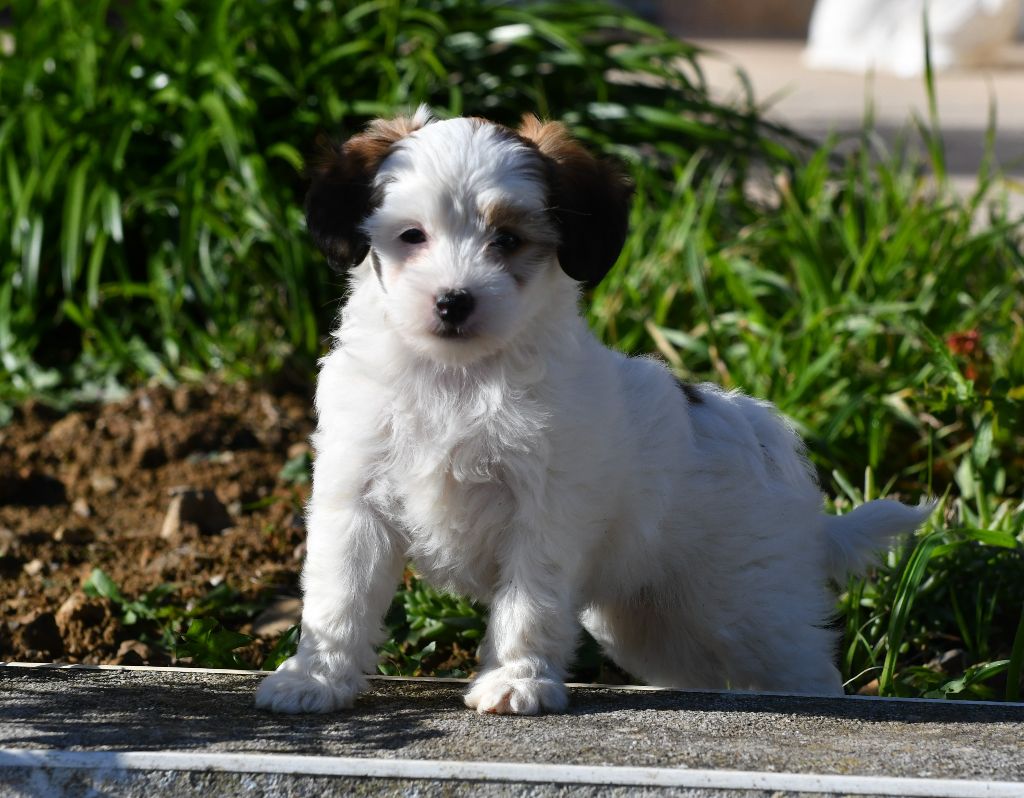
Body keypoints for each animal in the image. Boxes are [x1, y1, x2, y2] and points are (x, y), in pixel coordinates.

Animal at [253, 107, 929, 717]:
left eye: (507, 240)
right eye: (412, 236)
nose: (454, 301)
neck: (459, 377)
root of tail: (762, 436)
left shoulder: (545, 511)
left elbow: (528, 602)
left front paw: (517, 680)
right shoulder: (356, 497)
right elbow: (339, 596)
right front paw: (316, 679)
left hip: (754, 602)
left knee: (799, 663)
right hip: (651, 624)